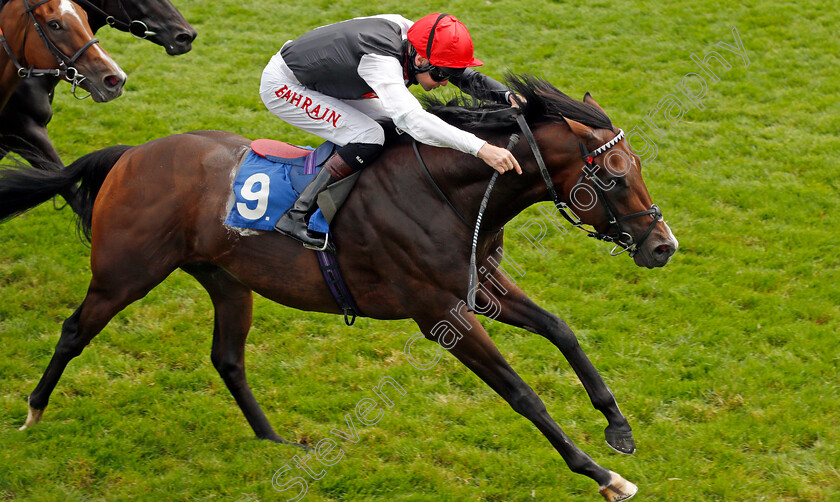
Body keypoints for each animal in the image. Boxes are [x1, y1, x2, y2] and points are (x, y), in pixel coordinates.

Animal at [0, 76, 680, 500]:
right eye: (614, 174)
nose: (662, 245)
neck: (448, 190)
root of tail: (131, 153)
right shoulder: (440, 312)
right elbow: (521, 393)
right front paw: (600, 475)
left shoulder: (480, 283)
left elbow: (561, 330)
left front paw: (617, 428)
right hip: (124, 273)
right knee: (74, 330)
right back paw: (32, 413)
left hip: (228, 280)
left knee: (227, 357)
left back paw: (273, 442)